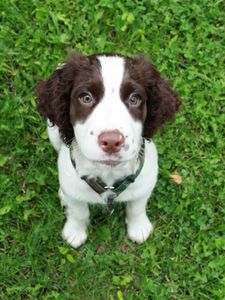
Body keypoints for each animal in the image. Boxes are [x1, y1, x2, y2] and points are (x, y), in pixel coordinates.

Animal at [37, 52, 181, 248]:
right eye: (86, 97)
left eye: (134, 99)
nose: (112, 142)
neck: (109, 174)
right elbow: (78, 211)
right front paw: (74, 232)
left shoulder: (145, 182)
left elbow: (137, 207)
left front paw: (139, 227)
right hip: (53, 132)